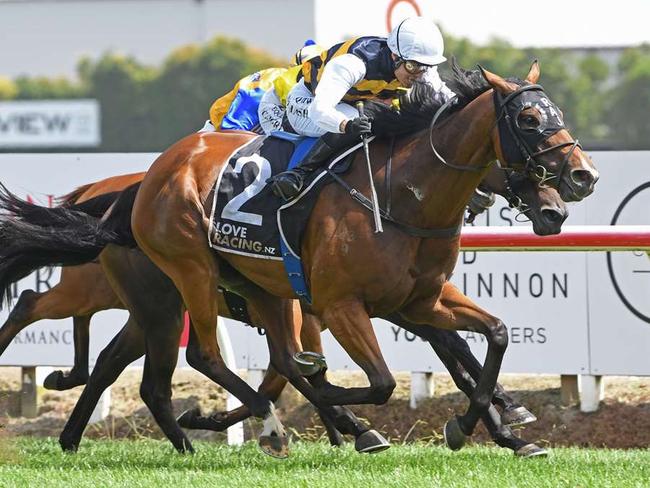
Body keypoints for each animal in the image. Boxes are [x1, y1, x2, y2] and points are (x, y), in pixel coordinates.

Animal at [0, 62, 596, 458]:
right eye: (528, 119)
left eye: (559, 113)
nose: (576, 184)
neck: (402, 196)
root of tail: (139, 184)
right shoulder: (341, 305)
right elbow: (382, 379)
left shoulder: (418, 300)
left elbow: (489, 338)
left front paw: (499, 429)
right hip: (182, 279)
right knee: (191, 354)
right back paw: (271, 428)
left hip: (196, 299)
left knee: (130, 367)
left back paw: (90, 437)